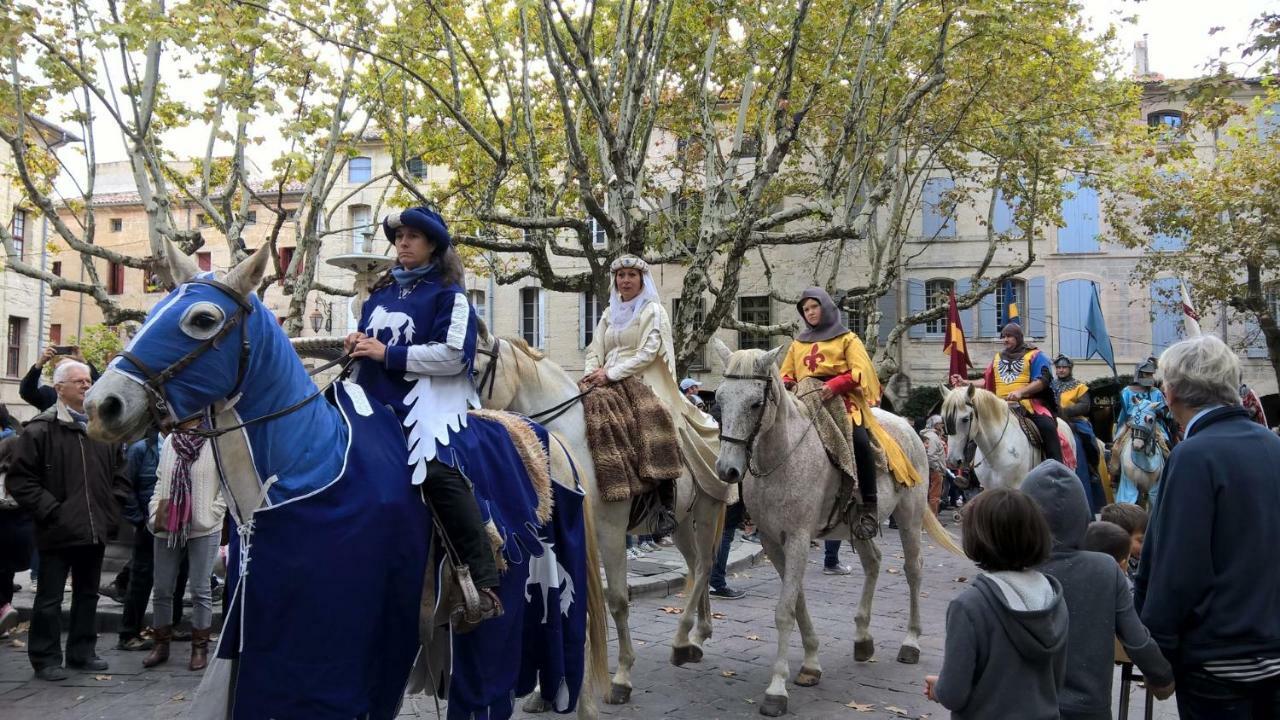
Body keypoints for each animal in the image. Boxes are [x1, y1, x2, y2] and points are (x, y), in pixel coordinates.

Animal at [471, 324, 732, 707]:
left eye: (474, 371)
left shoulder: (610, 533)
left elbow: (618, 600)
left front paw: (621, 678)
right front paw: (547, 690)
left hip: (707, 510)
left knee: (703, 568)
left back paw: (682, 642)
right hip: (682, 523)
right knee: (697, 564)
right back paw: (698, 637)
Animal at [711, 340, 962, 712]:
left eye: (755, 403)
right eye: (719, 399)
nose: (727, 470)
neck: (782, 456)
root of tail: (909, 428)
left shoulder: (798, 537)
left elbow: (785, 610)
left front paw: (776, 689)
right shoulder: (773, 541)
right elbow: (798, 601)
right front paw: (811, 664)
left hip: (910, 515)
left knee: (913, 570)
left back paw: (911, 643)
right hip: (860, 524)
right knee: (874, 562)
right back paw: (863, 639)